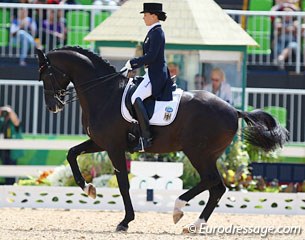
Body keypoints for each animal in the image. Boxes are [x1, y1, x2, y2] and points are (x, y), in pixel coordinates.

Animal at [35, 46, 288, 232]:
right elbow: (72, 153)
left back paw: (178, 208)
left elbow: (123, 183)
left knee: (210, 181)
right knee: (217, 187)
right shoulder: (101, 142)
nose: (53, 106)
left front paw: (125, 221)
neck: (105, 93)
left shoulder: (114, 147)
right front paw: (88, 188)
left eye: (47, 75)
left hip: (198, 152)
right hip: (208, 155)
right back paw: (194, 225)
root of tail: (234, 110)